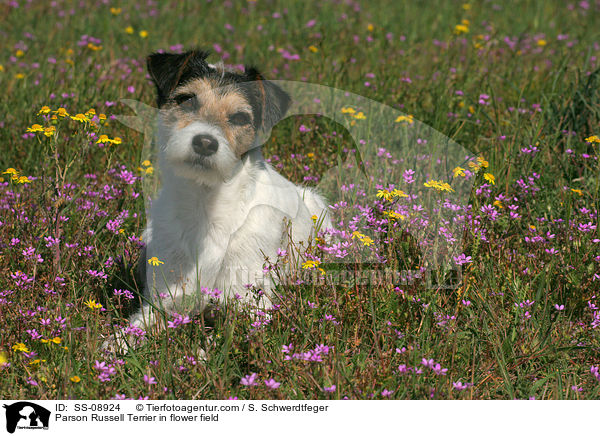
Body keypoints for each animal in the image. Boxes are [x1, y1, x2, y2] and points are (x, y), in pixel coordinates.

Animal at [119, 50, 330, 344]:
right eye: (186, 100)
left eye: (240, 117)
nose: (205, 143)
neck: (205, 203)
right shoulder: (162, 303)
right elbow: (126, 337)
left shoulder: (249, 305)